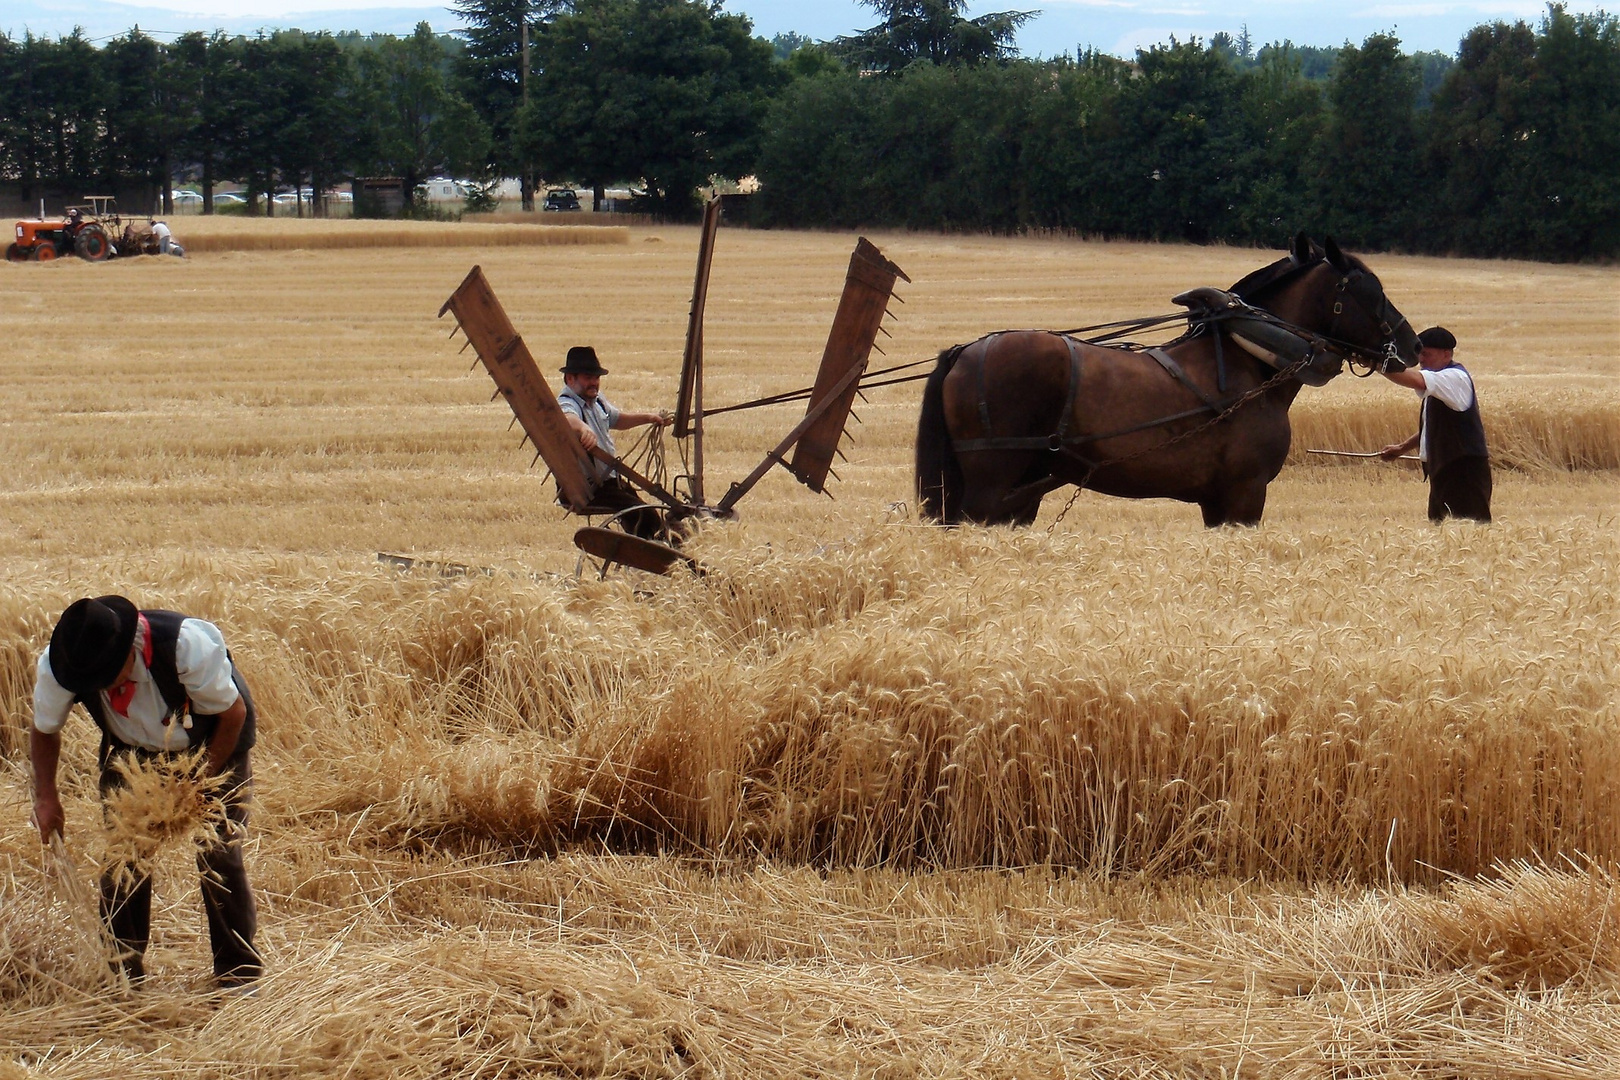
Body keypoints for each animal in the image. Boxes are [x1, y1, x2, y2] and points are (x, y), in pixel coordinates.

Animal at [926, 234, 1419, 524]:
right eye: (1373, 291)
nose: (1412, 345)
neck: (1253, 359)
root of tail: (966, 352)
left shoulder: (1219, 500)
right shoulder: (1245, 493)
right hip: (990, 488)